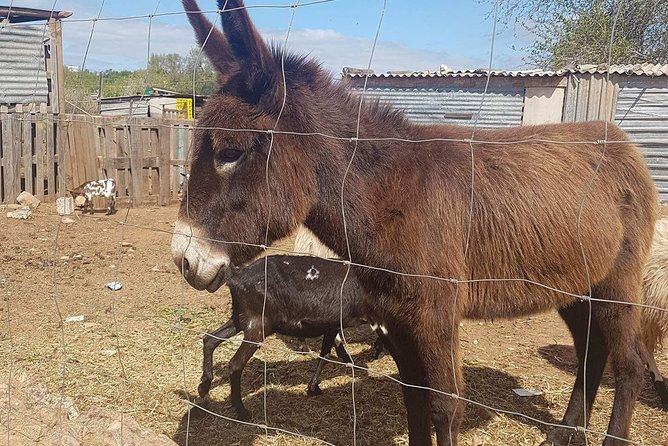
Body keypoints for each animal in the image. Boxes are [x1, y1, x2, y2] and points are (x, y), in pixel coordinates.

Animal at [198, 254, 384, 422]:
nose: (376, 353)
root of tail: (235, 277)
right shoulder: (333, 324)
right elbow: (325, 354)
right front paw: (314, 387)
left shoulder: (331, 327)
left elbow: (324, 354)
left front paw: (313, 386)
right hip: (257, 325)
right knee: (235, 364)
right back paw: (241, 411)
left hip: (239, 317)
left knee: (210, 339)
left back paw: (204, 386)